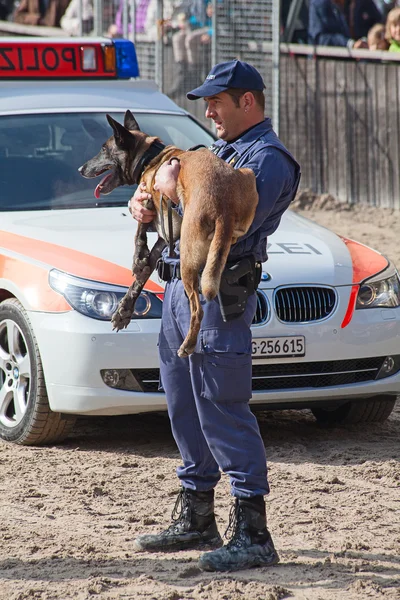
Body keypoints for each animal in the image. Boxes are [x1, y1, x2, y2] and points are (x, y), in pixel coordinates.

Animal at [79, 111, 258, 356]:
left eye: (104, 149)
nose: (80, 169)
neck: (151, 158)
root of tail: (224, 204)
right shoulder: (165, 237)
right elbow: (143, 274)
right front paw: (124, 310)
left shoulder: (150, 200)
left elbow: (139, 231)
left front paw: (137, 259)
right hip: (248, 177)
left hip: (188, 258)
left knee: (197, 308)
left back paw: (188, 345)